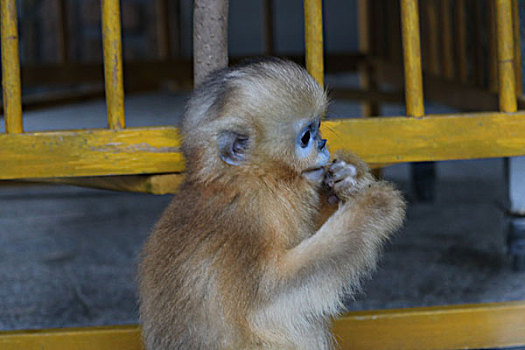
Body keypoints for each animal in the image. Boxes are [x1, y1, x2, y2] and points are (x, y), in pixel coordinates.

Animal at [137, 58, 404, 348]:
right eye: (306, 137)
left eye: (318, 128)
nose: (323, 143)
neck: (249, 179)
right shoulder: (248, 220)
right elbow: (270, 303)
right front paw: (373, 206)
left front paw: (348, 175)